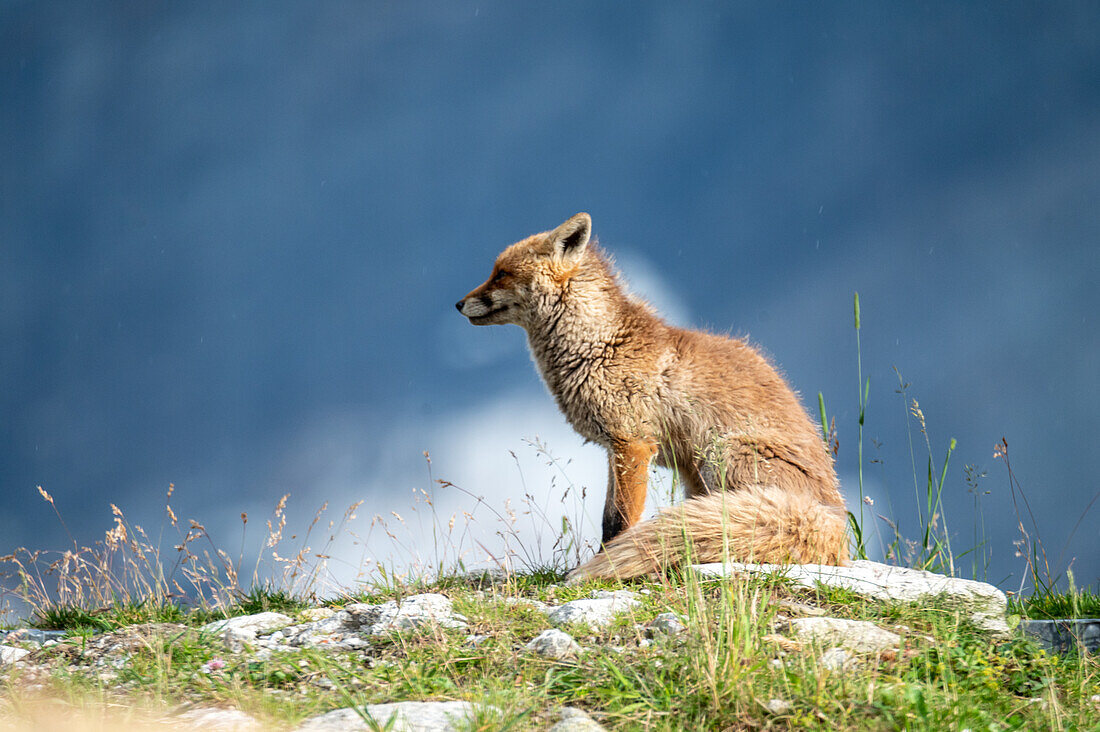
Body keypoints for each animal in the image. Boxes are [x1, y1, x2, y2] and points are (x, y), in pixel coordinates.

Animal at [455, 214, 849, 581]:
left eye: (502, 274)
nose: (458, 304)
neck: (600, 346)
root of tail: (836, 521)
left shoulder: (633, 444)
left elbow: (620, 521)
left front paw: (603, 563)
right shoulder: (616, 448)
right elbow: (608, 519)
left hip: (721, 457)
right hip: (695, 476)